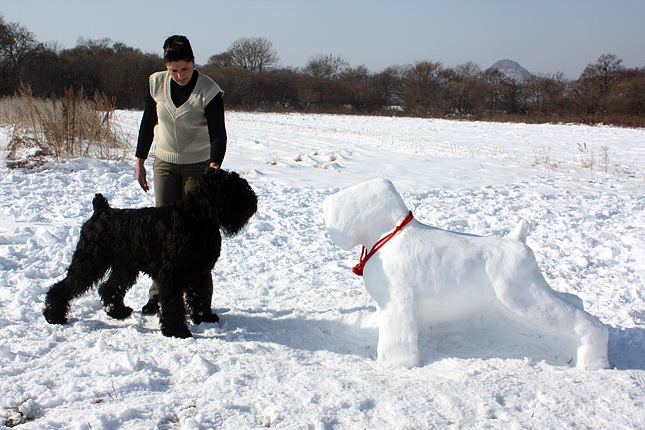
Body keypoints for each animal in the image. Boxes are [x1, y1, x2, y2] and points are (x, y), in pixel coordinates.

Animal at [42, 169, 256, 340]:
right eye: (231, 187)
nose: (253, 201)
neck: (198, 219)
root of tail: (100, 210)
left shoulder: (200, 271)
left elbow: (201, 295)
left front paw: (205, 318)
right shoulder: (172, 274)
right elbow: (173, 303)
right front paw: (176, 330)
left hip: (124, 267)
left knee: (109, 287)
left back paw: (117, 311)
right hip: (90, 261)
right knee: (65, 286)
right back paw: (54, 316)